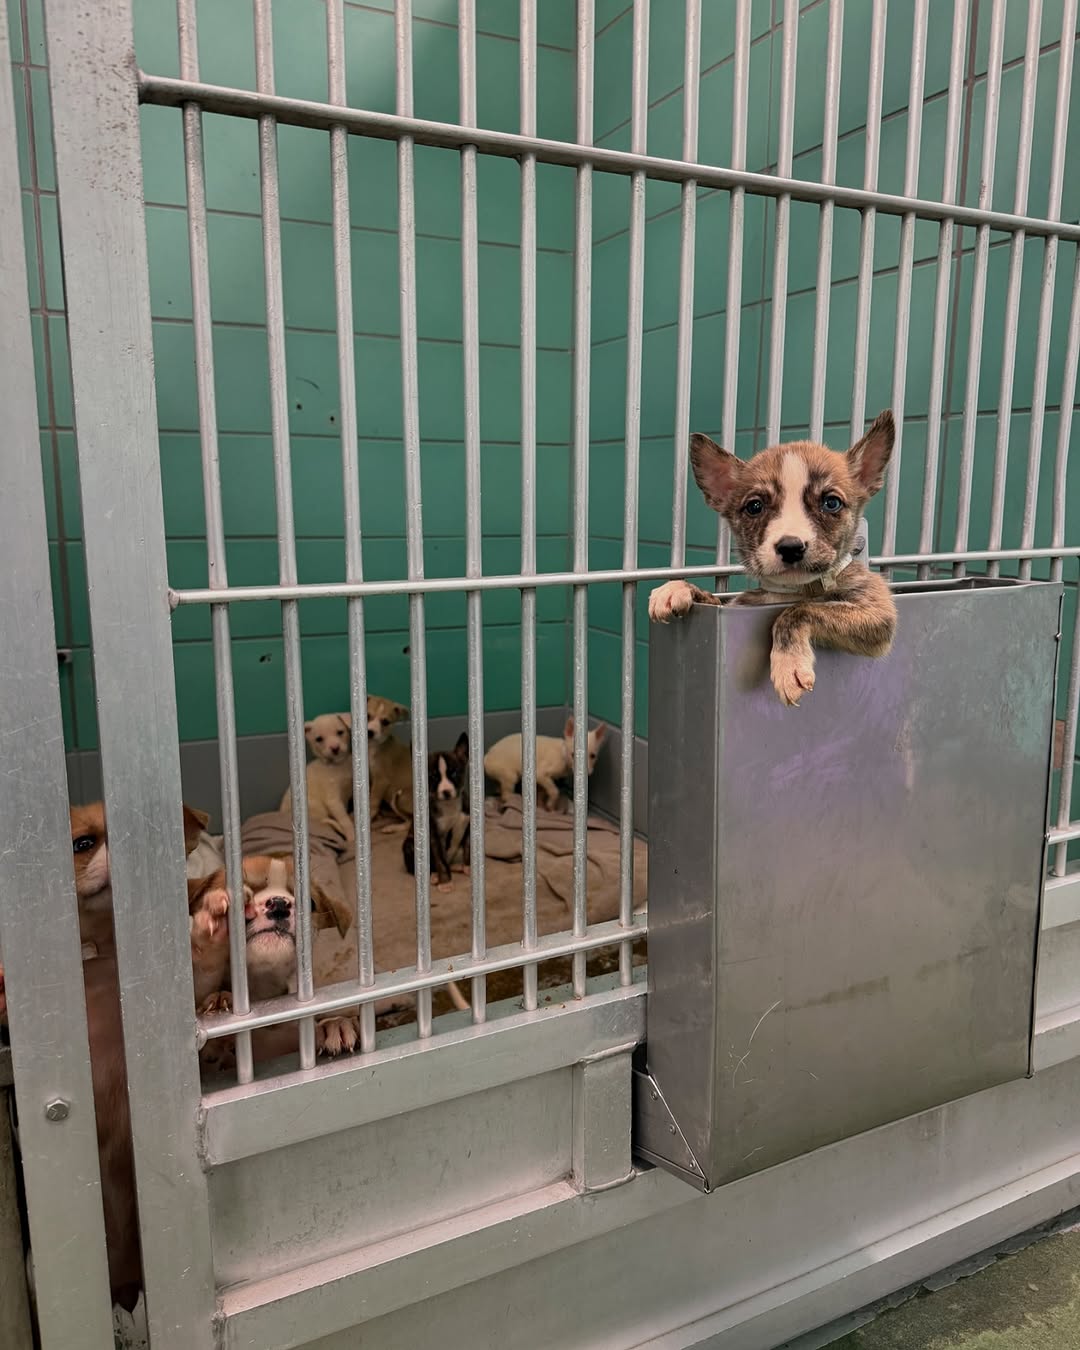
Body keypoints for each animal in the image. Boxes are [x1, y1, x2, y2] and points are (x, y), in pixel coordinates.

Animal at [402, 734, 469, 891]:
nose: (446, 792)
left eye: (454, 773)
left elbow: (469, 848)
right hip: (409, 845)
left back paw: (457, 867)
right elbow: (441, 862)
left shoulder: (468, 826)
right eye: (432, 777)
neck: (450, 805)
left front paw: (469, 867)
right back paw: (433, 876)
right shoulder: (435, 836)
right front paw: (445, 883)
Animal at [650, 407, 896, 707]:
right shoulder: (739, 605)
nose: (791, 547)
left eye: (831, 503)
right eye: (755, 506)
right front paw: (677, 588)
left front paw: (789, 665)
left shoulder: (877, 612)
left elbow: (798, 611)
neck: (794, 589)